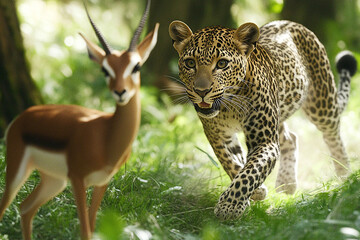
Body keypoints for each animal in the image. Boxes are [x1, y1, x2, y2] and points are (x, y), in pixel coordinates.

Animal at [168, 19, 358, 220]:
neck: (229, 106)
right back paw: (286, 183)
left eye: (222, 64)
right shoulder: (218, 136)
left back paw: (345, 176)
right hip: (278, 114)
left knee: (333, 135)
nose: (201, 91)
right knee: (290, 138)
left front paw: (230, 206)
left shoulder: (264, 140)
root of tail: (291, 22)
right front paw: (256, 192)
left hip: (321, 102)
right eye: (190, 63)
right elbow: (231, 162)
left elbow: (251, 171)